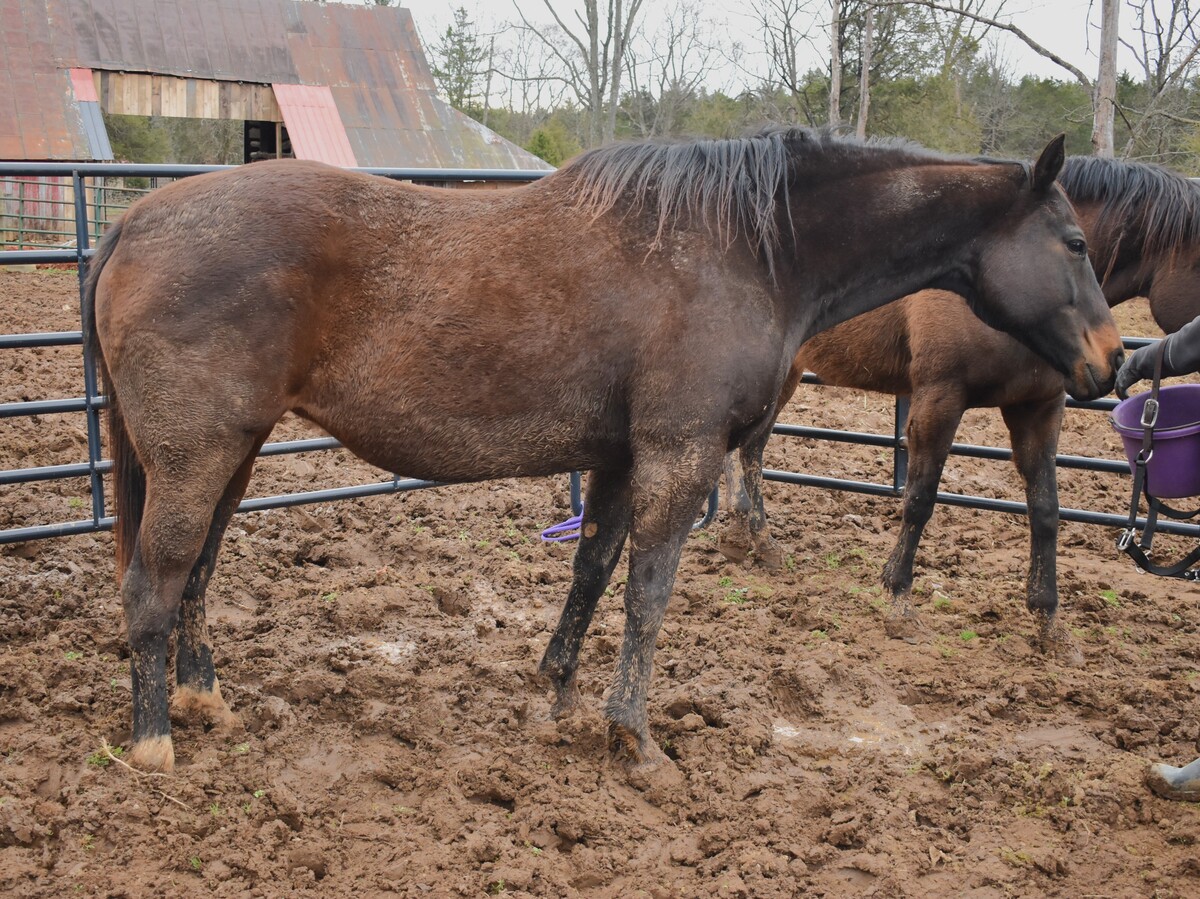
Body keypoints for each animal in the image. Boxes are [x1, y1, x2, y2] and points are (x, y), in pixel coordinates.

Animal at [85, 128, 1122, 773]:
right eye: (1074, 242)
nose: (1113, 364)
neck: (747, 249)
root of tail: (135, 219)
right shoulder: (681, 454)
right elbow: (649, 596)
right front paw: (636, 739)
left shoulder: (623, 458)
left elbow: (591, 571)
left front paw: (557, 701)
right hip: (196, 456)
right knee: (153, 582)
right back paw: (153, 741)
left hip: (234, 453)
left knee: (196, 574)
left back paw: (203, 700)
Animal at [719, 154, 1200, 659]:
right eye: (1076, 245)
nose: (1112, 363)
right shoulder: (939, 400)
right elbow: (920, 499)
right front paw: (899, 603)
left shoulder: (1039, 409)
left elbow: (1046, 511)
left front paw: (1050, 623)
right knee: (750, 451)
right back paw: (755, 538)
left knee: (749, 450)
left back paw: (748, 538)